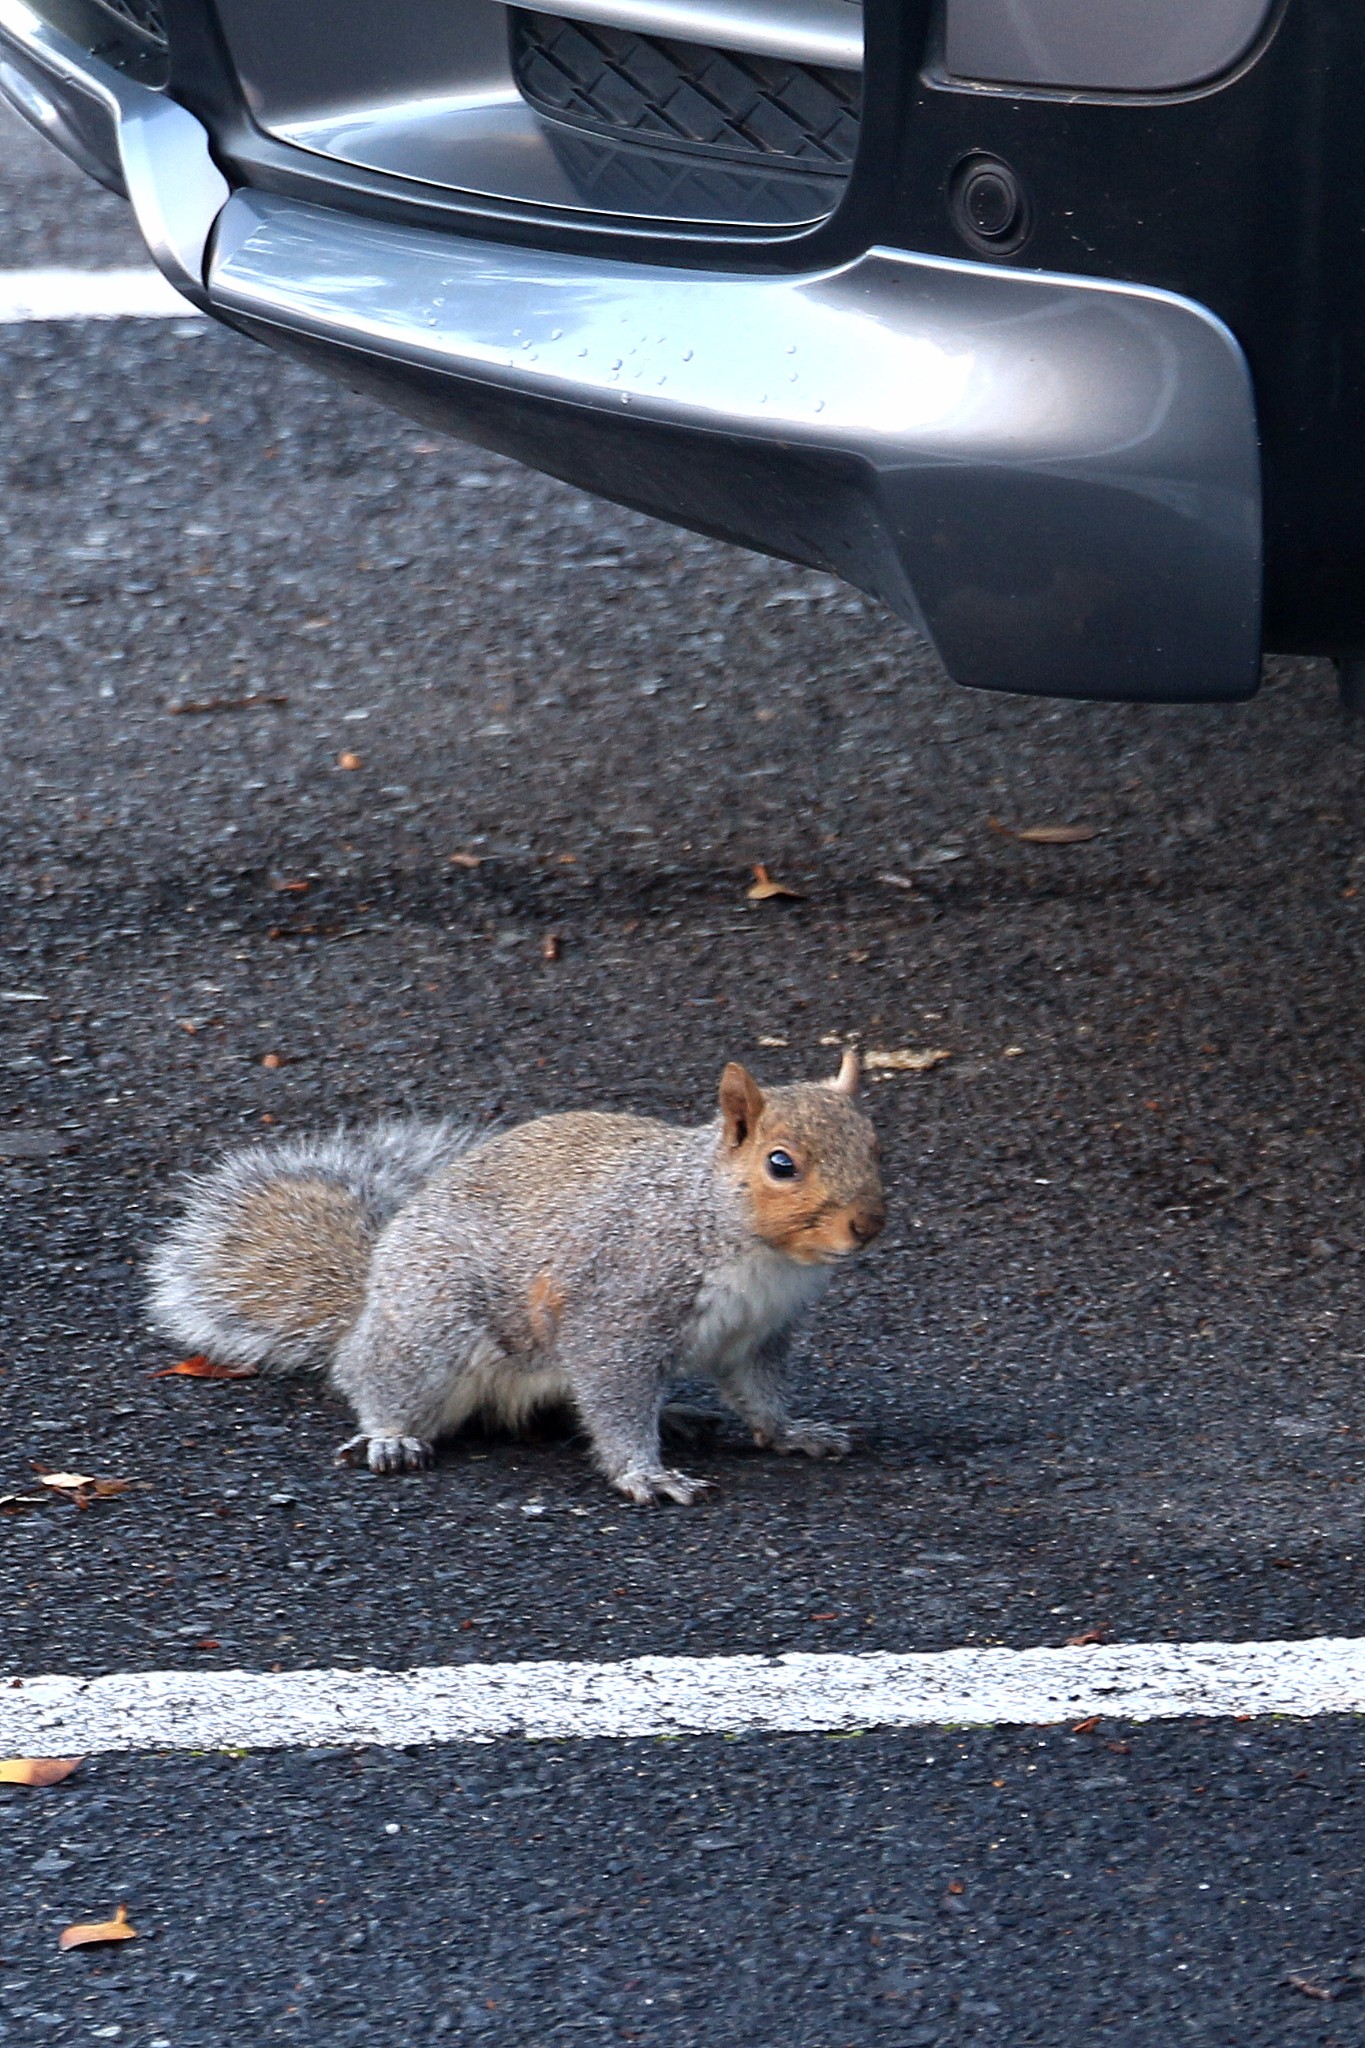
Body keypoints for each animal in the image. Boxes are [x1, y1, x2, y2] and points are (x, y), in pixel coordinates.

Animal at [149, 1056, 888, 1507]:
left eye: (875, 1143)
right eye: (780, 1164)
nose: (867, 1225)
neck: (757, 1251)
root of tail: (370, 1296)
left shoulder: (758, 1333)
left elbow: (759, 1392)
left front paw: (792, 1431)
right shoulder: (618, 1306)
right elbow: (615, 1396)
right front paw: (645, 1474)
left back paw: (676, 1416)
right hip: (433, 1325)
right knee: (375, 1377)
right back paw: (390, 1434)